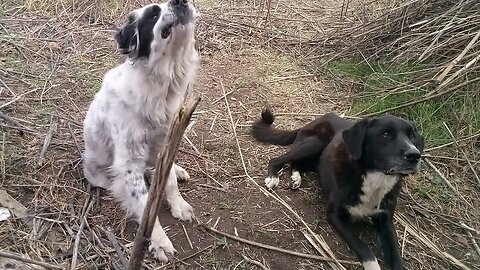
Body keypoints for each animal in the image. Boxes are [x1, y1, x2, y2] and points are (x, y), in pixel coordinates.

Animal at [83, 0, 200, 262]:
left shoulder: (168, 142)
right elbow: (144, 203)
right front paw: (159, 242)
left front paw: (178, 204)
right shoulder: (129, 164)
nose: (180, 1)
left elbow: (167, 182)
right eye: (153, 14)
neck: (162, 87)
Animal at [251, 109, 424, 270]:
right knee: (277, 160)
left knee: (296, 163)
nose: (415, 155)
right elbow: (365, 250)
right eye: (386, 134)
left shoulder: (386, 222)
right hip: (314, 143)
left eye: (412, 136)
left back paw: (296, 177)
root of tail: (317, 119)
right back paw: (273, 177)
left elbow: (396, 259)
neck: (375, 178)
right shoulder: (335, 215)